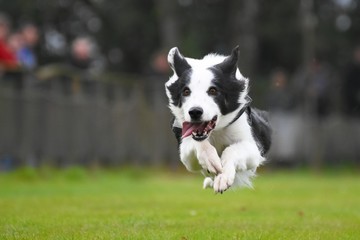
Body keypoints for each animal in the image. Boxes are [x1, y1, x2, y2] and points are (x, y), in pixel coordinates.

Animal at [165, 46, 272, 193]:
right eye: (186, 91)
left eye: (213, 90)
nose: (195, 112)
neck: (216, 130)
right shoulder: (185, 152)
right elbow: (197, 143)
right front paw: (210, 160)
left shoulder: (253, 148)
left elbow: (231, 150)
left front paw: (223, 178)